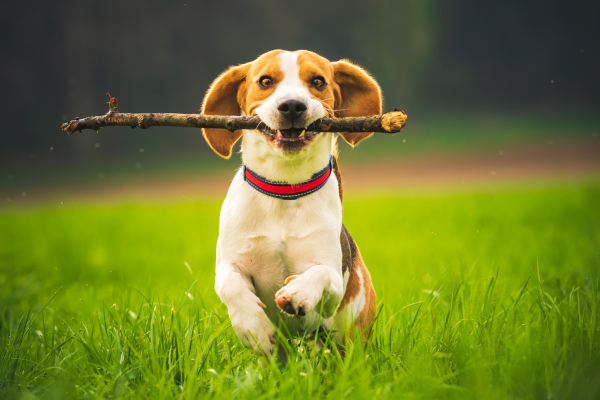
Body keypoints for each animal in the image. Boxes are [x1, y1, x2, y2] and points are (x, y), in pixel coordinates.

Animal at [202, 49, 380, 356]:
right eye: (265, 81)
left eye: (318, 81)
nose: (293, 106)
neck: (285, 188)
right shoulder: (229, 264)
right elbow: (230, 285)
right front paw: (255, 329)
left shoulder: (332, 281)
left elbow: (321, 274)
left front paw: (298, 292)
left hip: (349, 335)